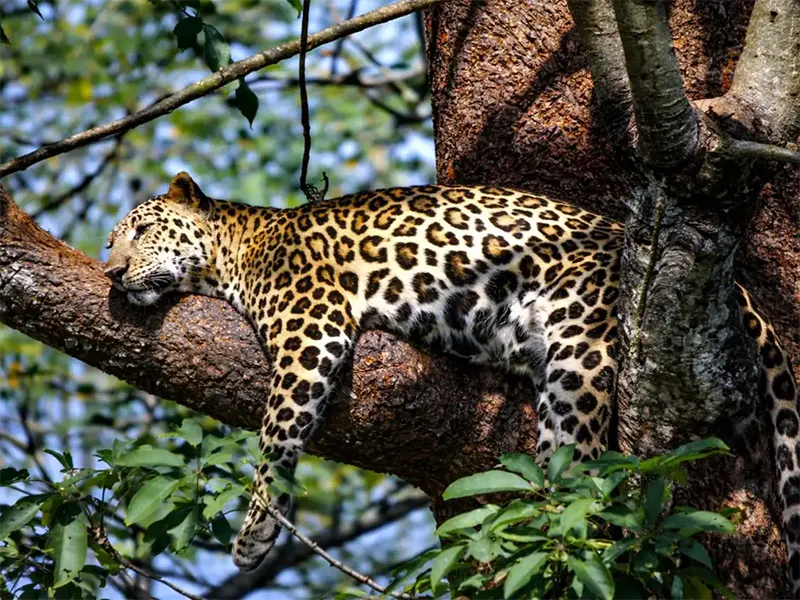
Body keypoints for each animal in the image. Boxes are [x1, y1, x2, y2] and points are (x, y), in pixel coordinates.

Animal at [105, 172, 800, 592]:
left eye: (141, 230)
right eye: (112, 243)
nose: (111, 273)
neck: (234, 252)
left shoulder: (312, 329)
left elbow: (276, 434)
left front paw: (255, 532)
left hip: (582, 346)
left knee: (582, 465)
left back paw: (567, 542)